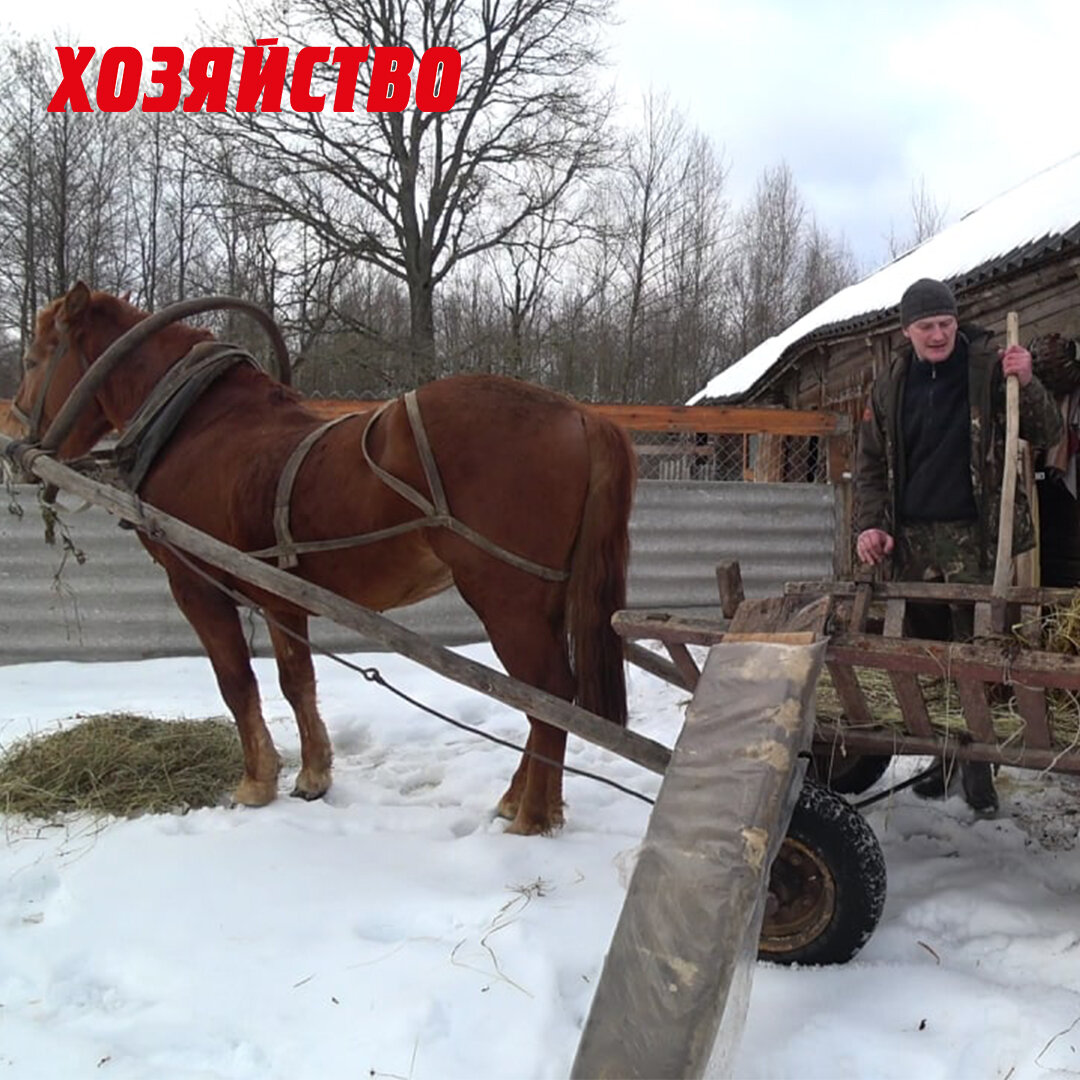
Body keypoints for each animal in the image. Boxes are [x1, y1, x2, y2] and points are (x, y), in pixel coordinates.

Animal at [8, 285, 630, 833]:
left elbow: (237, 681)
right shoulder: (281, 596)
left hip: (507, 598)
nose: (14, 437)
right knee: (543, 701)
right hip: (543, 597)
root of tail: (581, 415)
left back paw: (532, 817)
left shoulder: (197, 583)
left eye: (33, 358)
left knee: (550, 694)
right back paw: (517, 799)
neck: (198, 426)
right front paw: (312, 777)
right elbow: (296, 680)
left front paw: (256, 783)